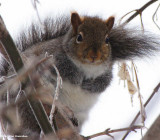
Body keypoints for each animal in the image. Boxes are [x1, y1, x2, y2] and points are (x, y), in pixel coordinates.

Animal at [0, 12, 158, 138]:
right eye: (79, 37)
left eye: (107, 40)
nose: (94, 55)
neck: (87, 67)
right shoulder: (47, 57)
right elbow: (64, 68)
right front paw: (76, 77)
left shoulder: (107, 71)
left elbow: (104, 82)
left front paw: (90, 85)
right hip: (27, 101)